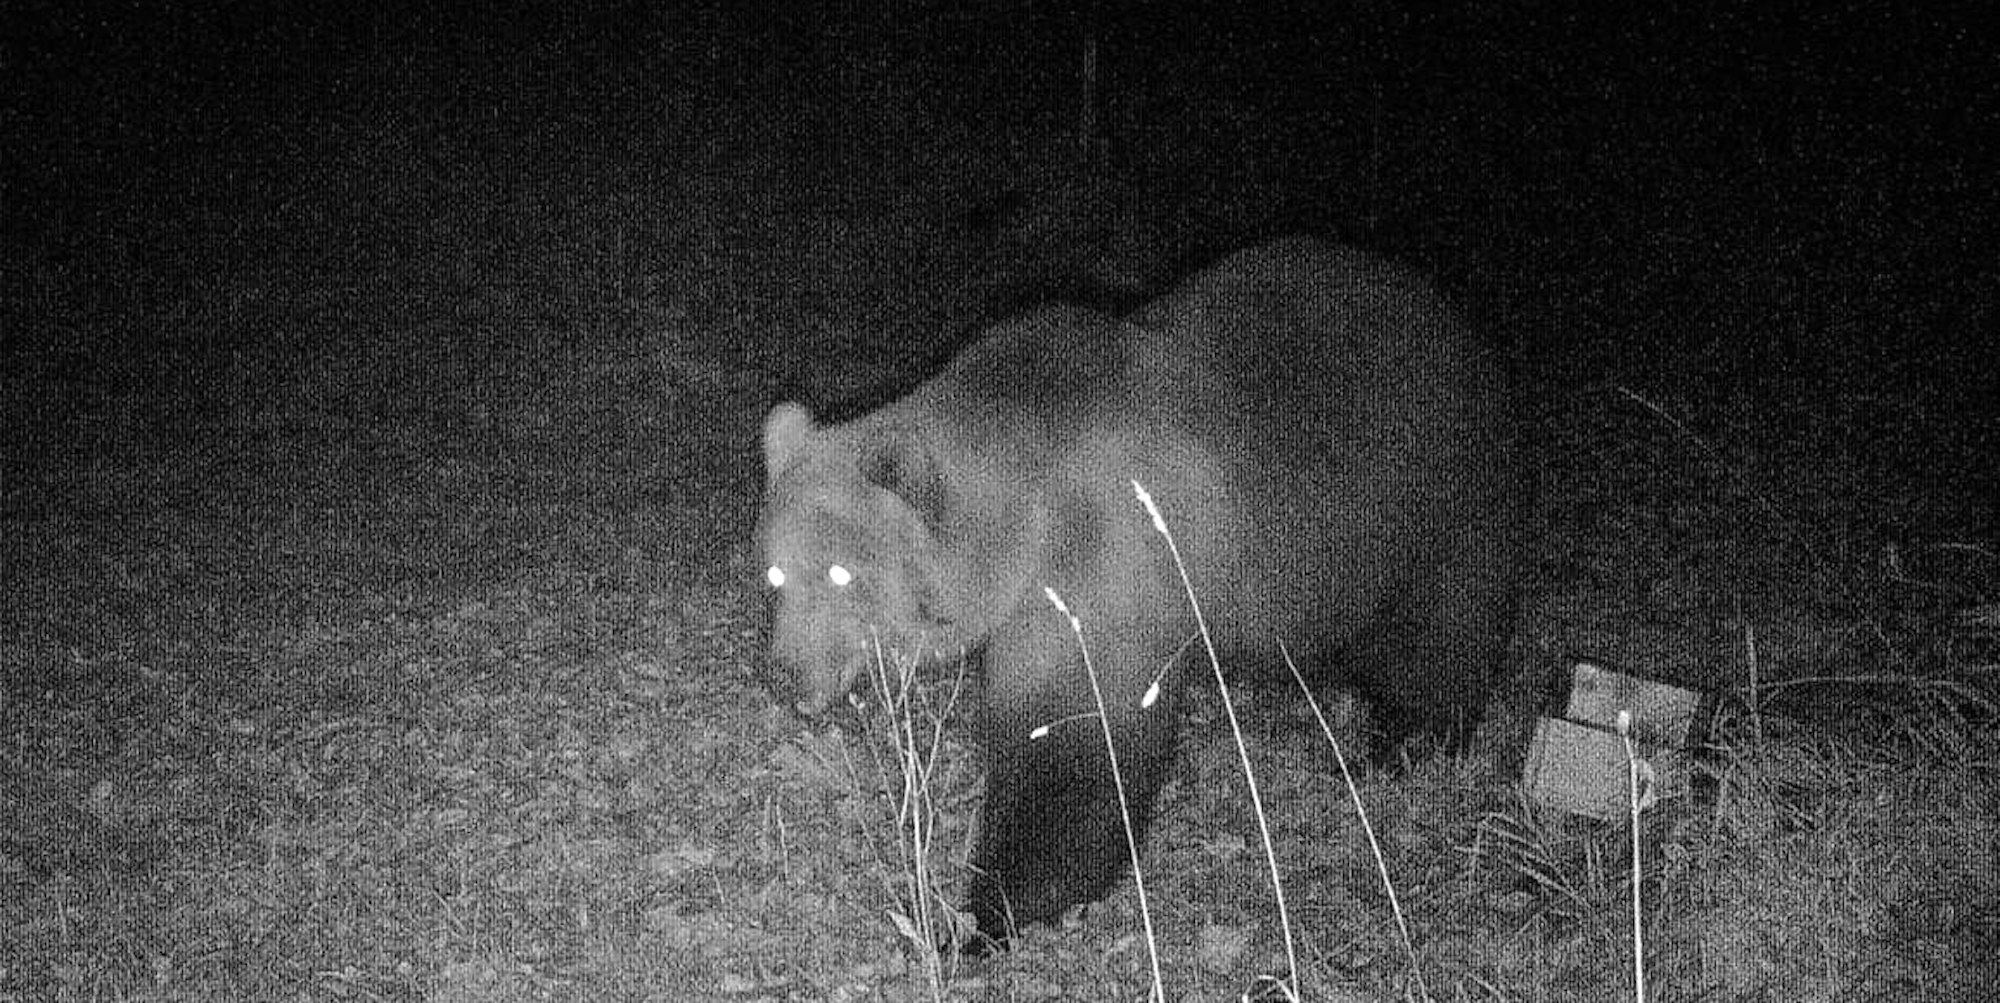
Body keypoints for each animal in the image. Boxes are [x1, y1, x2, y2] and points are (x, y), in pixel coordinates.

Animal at [755, 237, 1522, 951]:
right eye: (774, 574)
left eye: (842, 575)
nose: (786, 673)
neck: (1026, 520)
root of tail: (1452, 316)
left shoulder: (1109, 565)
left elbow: (1077, 747)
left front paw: (991, 915)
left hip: (1432, 506)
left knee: (1440, 635)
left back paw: (1394, 743)